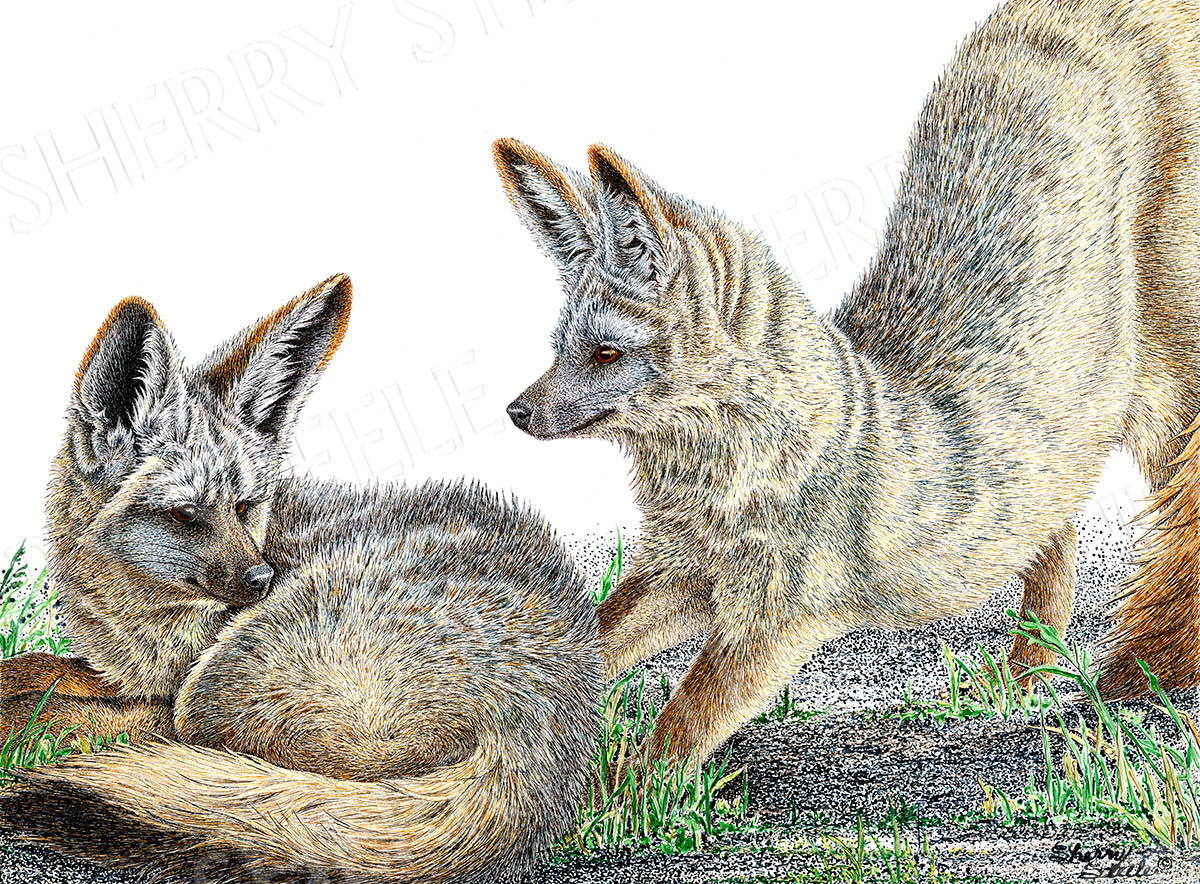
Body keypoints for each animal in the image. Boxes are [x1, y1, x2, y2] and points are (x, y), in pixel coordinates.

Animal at [0, 275, 600, 883]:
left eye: (244, 507)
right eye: (187, 514)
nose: (263, 577)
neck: (142, 624)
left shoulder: (168, 690)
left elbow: (68, 709)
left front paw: (29, 716)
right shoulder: (125, 674)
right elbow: (41, 667)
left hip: (219, 687)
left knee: (186, 743)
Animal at [494, 0, 1200, 770]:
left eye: (605, 353)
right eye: (560, 349)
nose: (516, 412)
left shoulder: (776, 622)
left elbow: (680, 726)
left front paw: (616, 792)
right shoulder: (682, 572)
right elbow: (591, 639)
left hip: (1164, 406)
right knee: (1055, 547)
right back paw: (1019, 684)